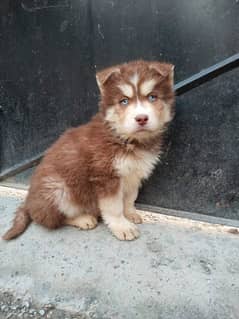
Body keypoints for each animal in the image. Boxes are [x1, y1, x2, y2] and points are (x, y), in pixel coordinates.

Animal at [2, 60, 176, 241]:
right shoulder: (106, 176)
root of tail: (28, 203)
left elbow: (129, 198)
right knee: (52, 218)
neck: (123, 137)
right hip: (58, 188)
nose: (141, 118)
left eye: (152, 97)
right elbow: (114, 207)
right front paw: (122, 226)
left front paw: (130, 213)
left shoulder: (134, 173)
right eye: (124, 101)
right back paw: (83, 219)